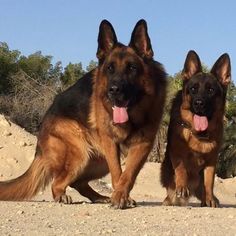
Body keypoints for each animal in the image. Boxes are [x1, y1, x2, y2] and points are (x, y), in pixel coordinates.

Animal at [0, 19, 166, 208]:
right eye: (109, 69)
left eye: (132, 68)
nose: (113, 90)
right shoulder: (110, 142)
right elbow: (118, 173)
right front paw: (119, 197)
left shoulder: (142, 144)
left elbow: (128, 174)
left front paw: (121, 195)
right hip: (81, 153)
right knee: (58, 182)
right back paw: (62, 196)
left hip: (99, 161)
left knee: (77, 182)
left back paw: (99, 197)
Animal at [160, 49, 230, 206]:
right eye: (193, 89)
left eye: (211, 90)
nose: (199, 103)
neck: (199, 133)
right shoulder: (176, 153)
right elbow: (181, 170)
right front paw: (182, 187)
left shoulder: (211, 161)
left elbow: (209, 182)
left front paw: (209, 199)